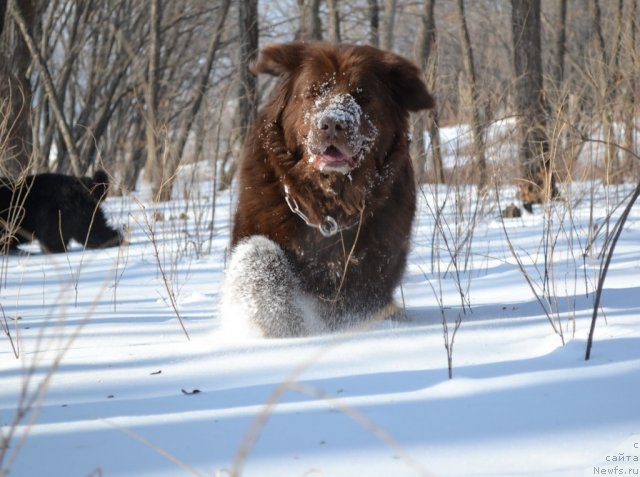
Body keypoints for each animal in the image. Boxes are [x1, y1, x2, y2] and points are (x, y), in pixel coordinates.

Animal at [221, 41, 436, 338]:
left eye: (362, 95)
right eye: (313, 92)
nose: (333, 122)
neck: (329, 206)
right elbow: (258, 258)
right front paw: (288, 327)